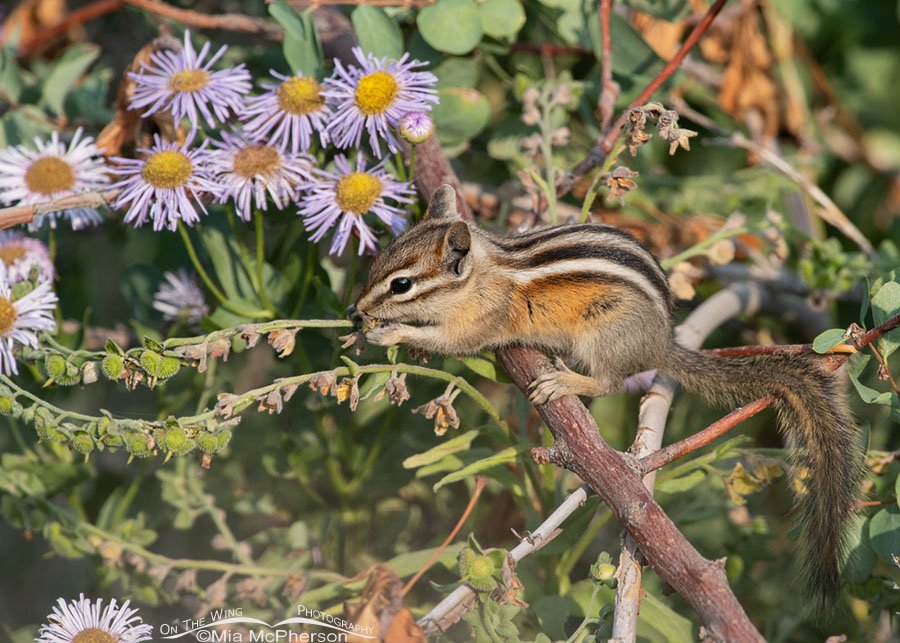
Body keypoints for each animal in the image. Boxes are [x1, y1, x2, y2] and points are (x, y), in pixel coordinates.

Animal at [349, 184, 863, 606]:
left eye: (401, 284)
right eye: (379, 259)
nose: (356, 309)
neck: (482, 273)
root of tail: (661, 342)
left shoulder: (478, 323)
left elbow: (450, 341)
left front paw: (389, 332)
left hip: (603, 332)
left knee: (611, 381)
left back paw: (566, 381)